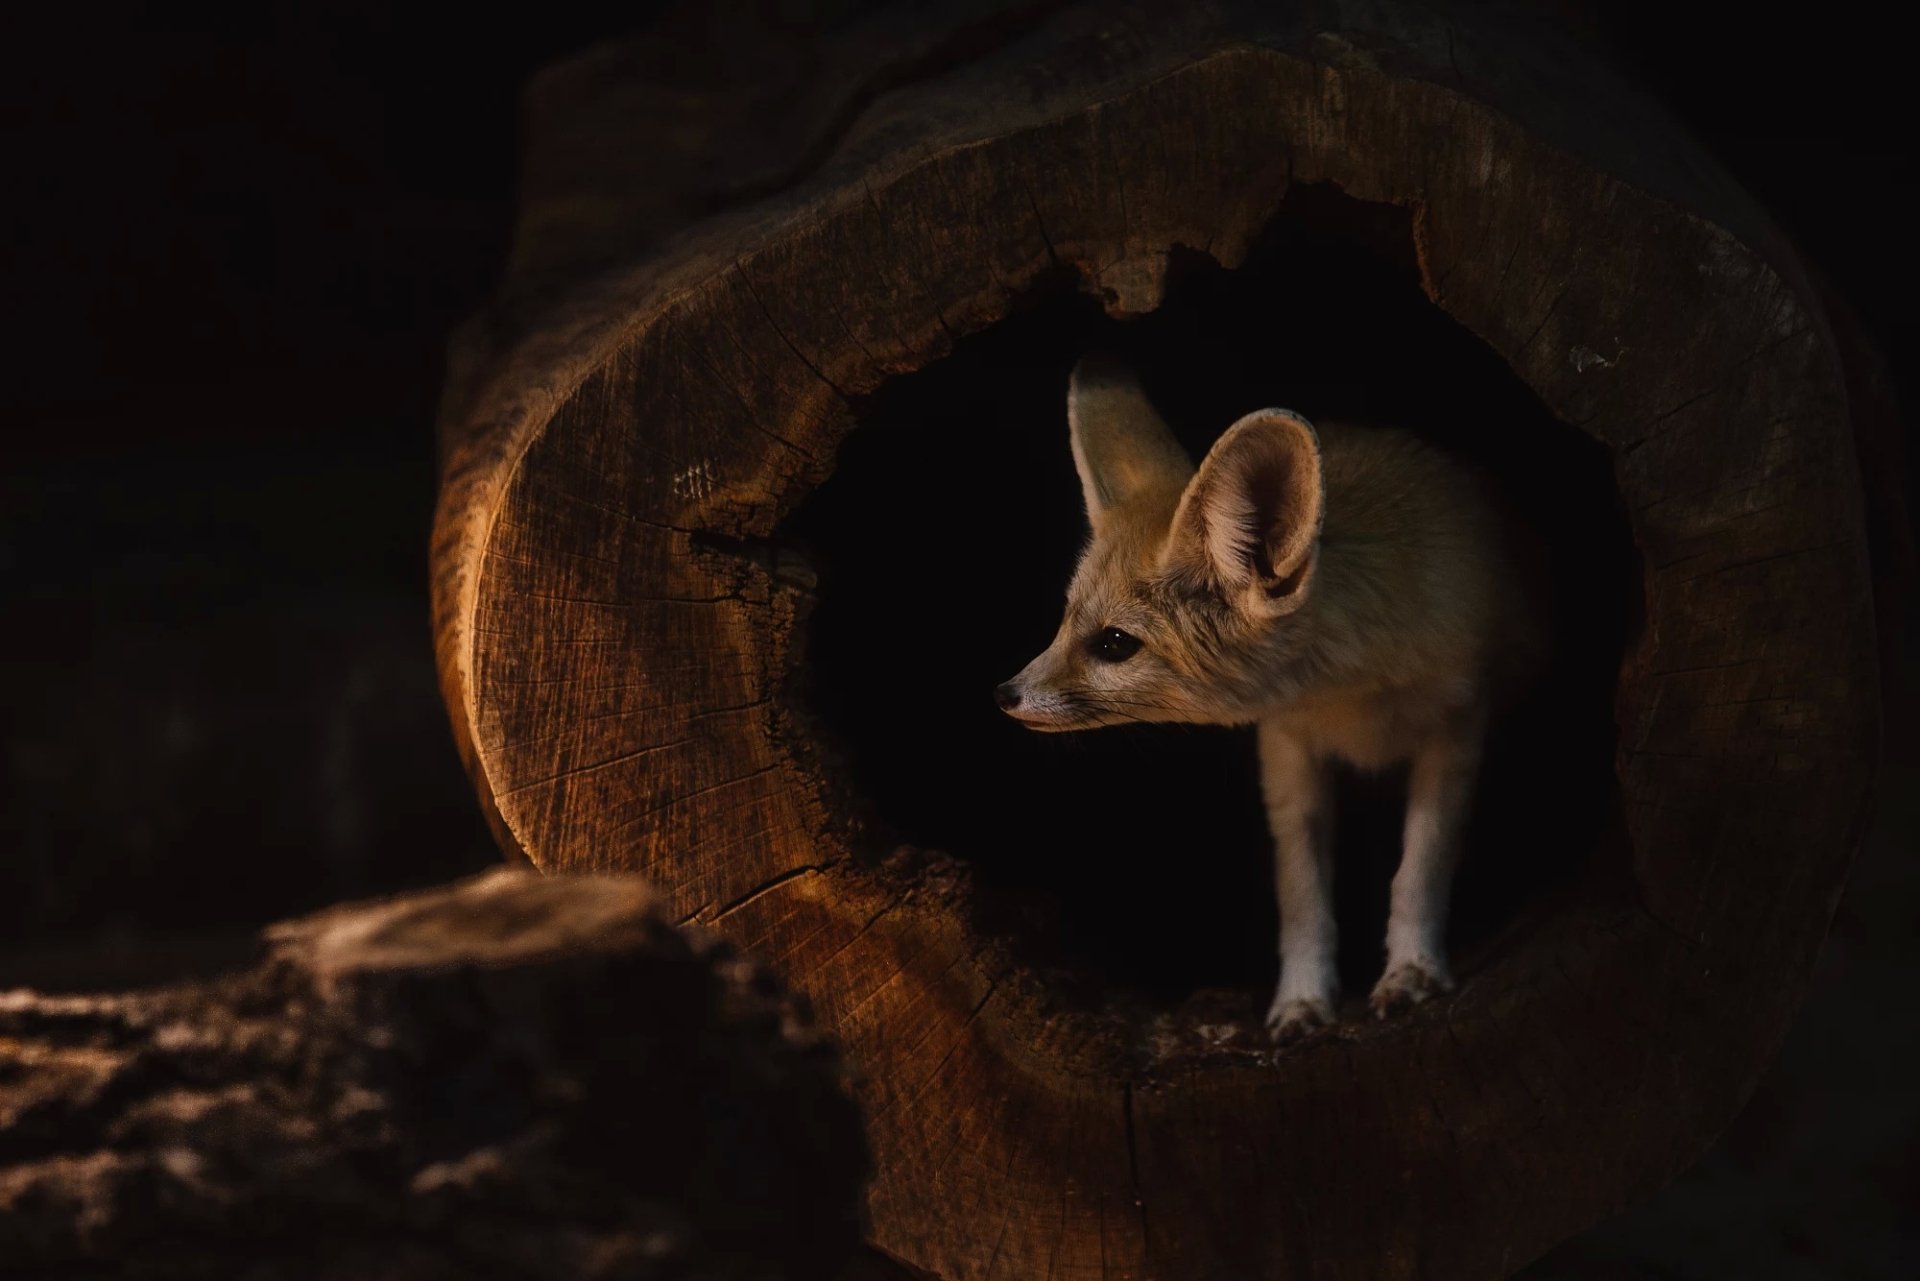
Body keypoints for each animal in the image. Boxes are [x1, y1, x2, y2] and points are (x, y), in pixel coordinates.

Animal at [995, 353, 1538, 1044]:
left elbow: (1421, 865)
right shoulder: (1287, 750)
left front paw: (1411, 969)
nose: (1004, 694)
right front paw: (1301, 1001)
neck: (1349, 699)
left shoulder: (1457, 726)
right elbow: (1301, 895)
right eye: (1063, 621)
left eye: (1114, 644)